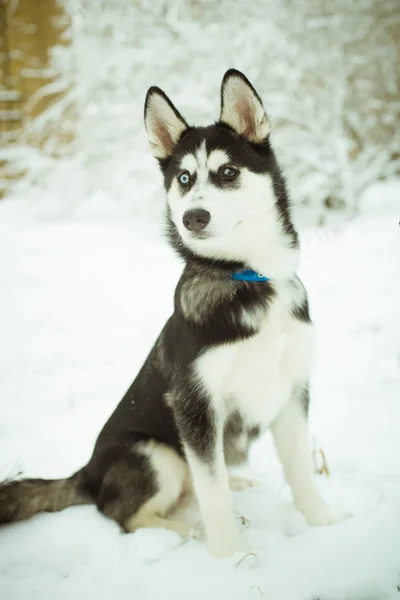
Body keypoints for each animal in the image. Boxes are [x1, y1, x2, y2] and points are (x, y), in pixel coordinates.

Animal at [0, 69, 344, 556]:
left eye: (227, 172)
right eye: (183, 177)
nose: (192, 218)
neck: (247, 276)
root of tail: (86, 472)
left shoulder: (293, 388)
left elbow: (299, 468)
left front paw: (321, 520)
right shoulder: (195, 404)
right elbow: (212, 491)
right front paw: (230, 555)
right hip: (155, 454)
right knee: (125, 515)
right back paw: (186, 534)